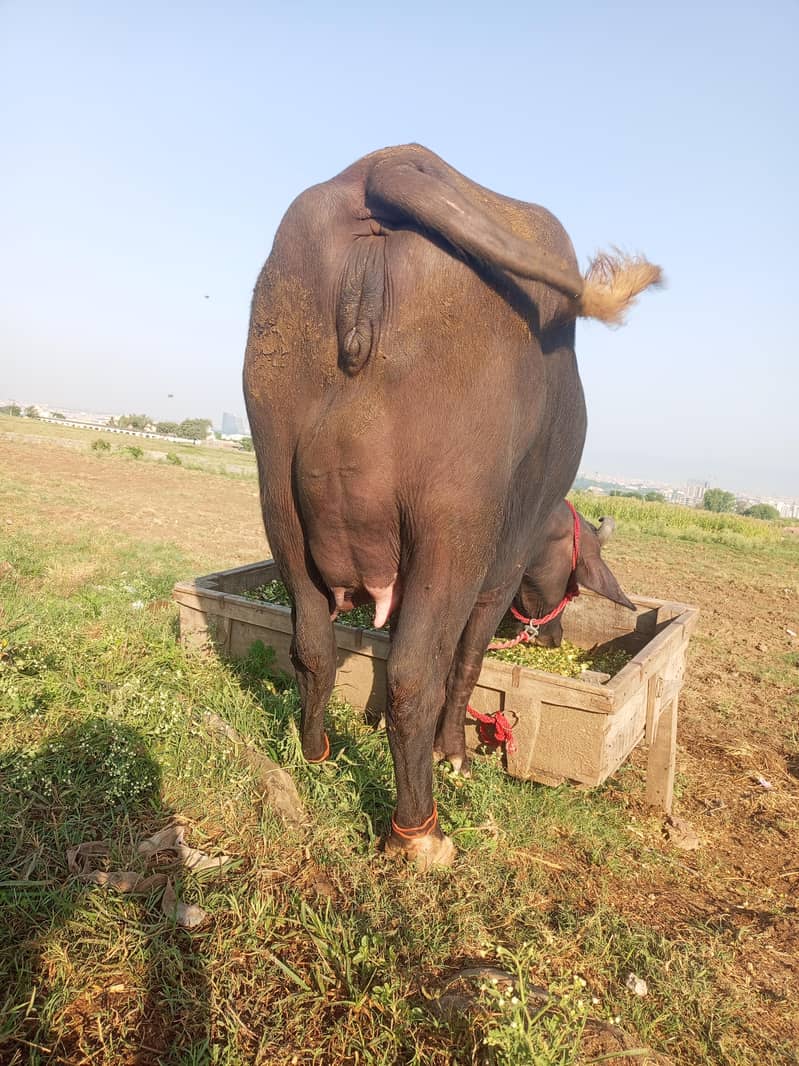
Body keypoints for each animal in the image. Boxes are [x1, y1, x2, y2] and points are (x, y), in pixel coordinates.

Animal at [244, 144, 660, 867]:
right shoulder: (501, 567)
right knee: (417, 674)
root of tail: (383, 168)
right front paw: (454, 753)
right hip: (451, 528)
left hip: (279, 501)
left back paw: (317, 754)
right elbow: (466, 661)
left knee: (312, 647)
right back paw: (420, 832)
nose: (552, 635)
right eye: (571, 580)